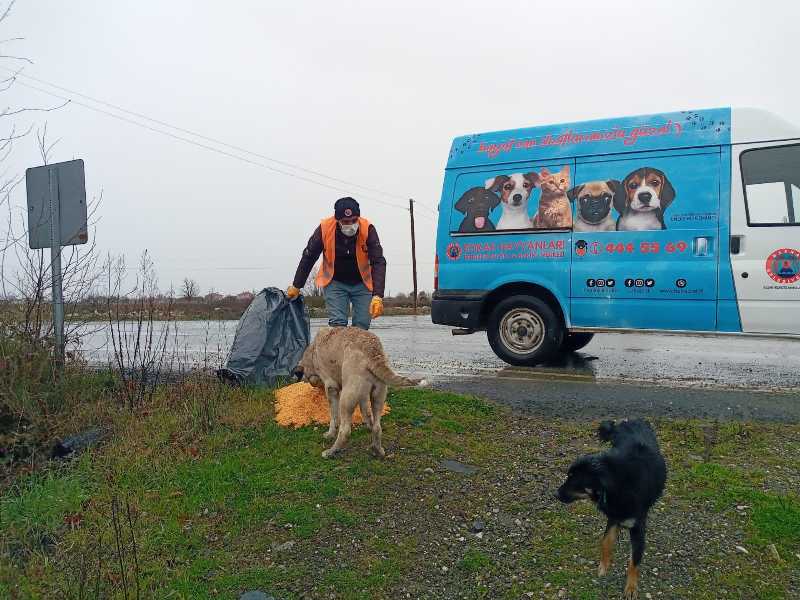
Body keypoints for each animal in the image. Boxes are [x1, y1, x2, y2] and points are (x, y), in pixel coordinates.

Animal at [294, 326, 424, 458]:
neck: (312, 351)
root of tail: (373, 352)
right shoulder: (363, 396)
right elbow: (366, 412)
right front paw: (368, 425)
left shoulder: (331, 387)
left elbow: (334, 417)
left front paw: (330, 434)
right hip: (378, 395)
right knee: (377, 427)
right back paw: (377, 449)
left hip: (346, 398)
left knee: (345, 431)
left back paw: (331, 451)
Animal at [556, 420, 668, 596]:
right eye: (568, 476)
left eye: (574, 481)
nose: (555, 494)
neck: (616, 484)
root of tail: (631, 420)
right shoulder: (614, 516)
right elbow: (606, 541)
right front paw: (604, 566)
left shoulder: (637, 526)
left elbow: (634, 560)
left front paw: (631, 587)